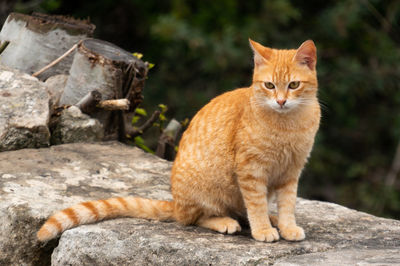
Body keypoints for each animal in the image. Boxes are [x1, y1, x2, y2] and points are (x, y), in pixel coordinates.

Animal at [36, 39, 318, 243]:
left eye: (293, 85)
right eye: (269, 85)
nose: (281, 101)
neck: (288, 124)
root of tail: (176, 203)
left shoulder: (291, 172)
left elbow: (288, 203)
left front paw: (287, 226)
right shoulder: (251, 171)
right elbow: (256, 204)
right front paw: (263, 230)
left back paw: (270, 219)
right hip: (207, 192)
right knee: (193, 218)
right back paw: (226, 222)